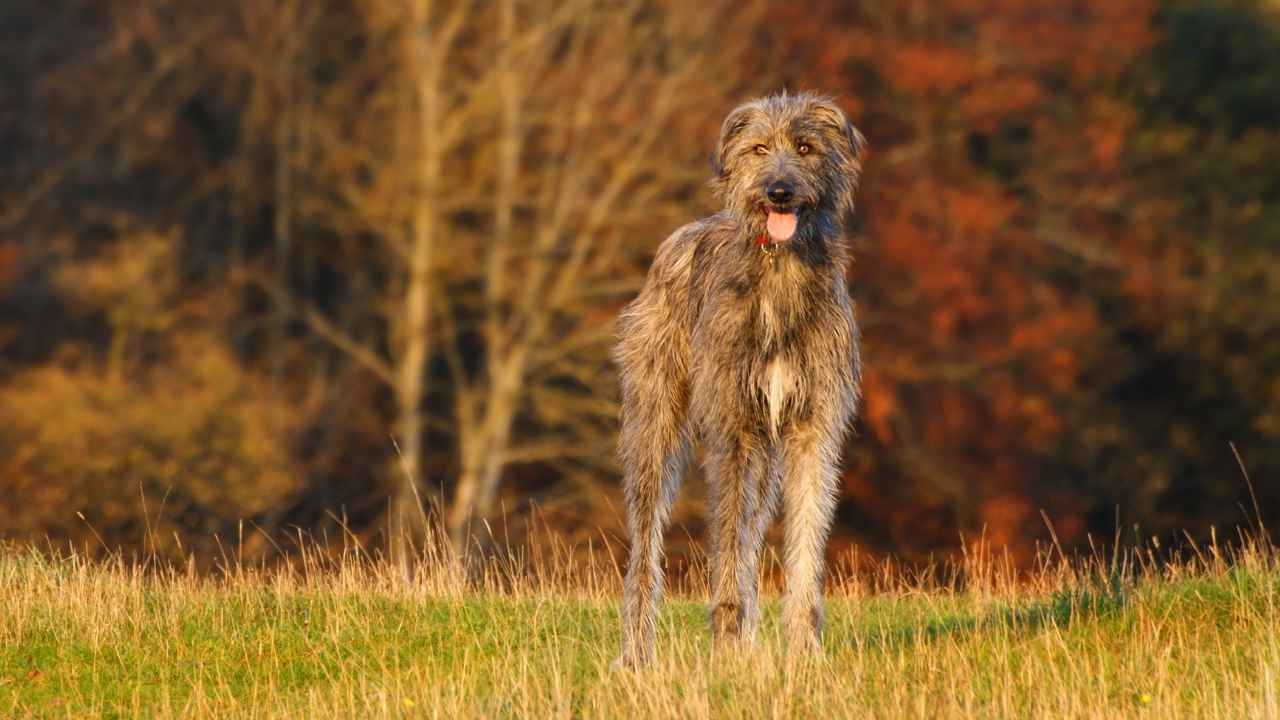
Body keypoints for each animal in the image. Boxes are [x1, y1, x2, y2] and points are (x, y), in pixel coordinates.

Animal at [611, 90, 870, 666]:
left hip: (768, 457)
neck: (778, 272)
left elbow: (803, 539)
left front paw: (803, 651)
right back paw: (636, 651)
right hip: (654, 423)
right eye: (758, 149)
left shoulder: (811, 428)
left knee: (753, 534)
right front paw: (726, 647)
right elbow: (727, 542)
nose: (779, 191)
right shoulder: (732, 430)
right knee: (647, 542)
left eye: (805, 147)